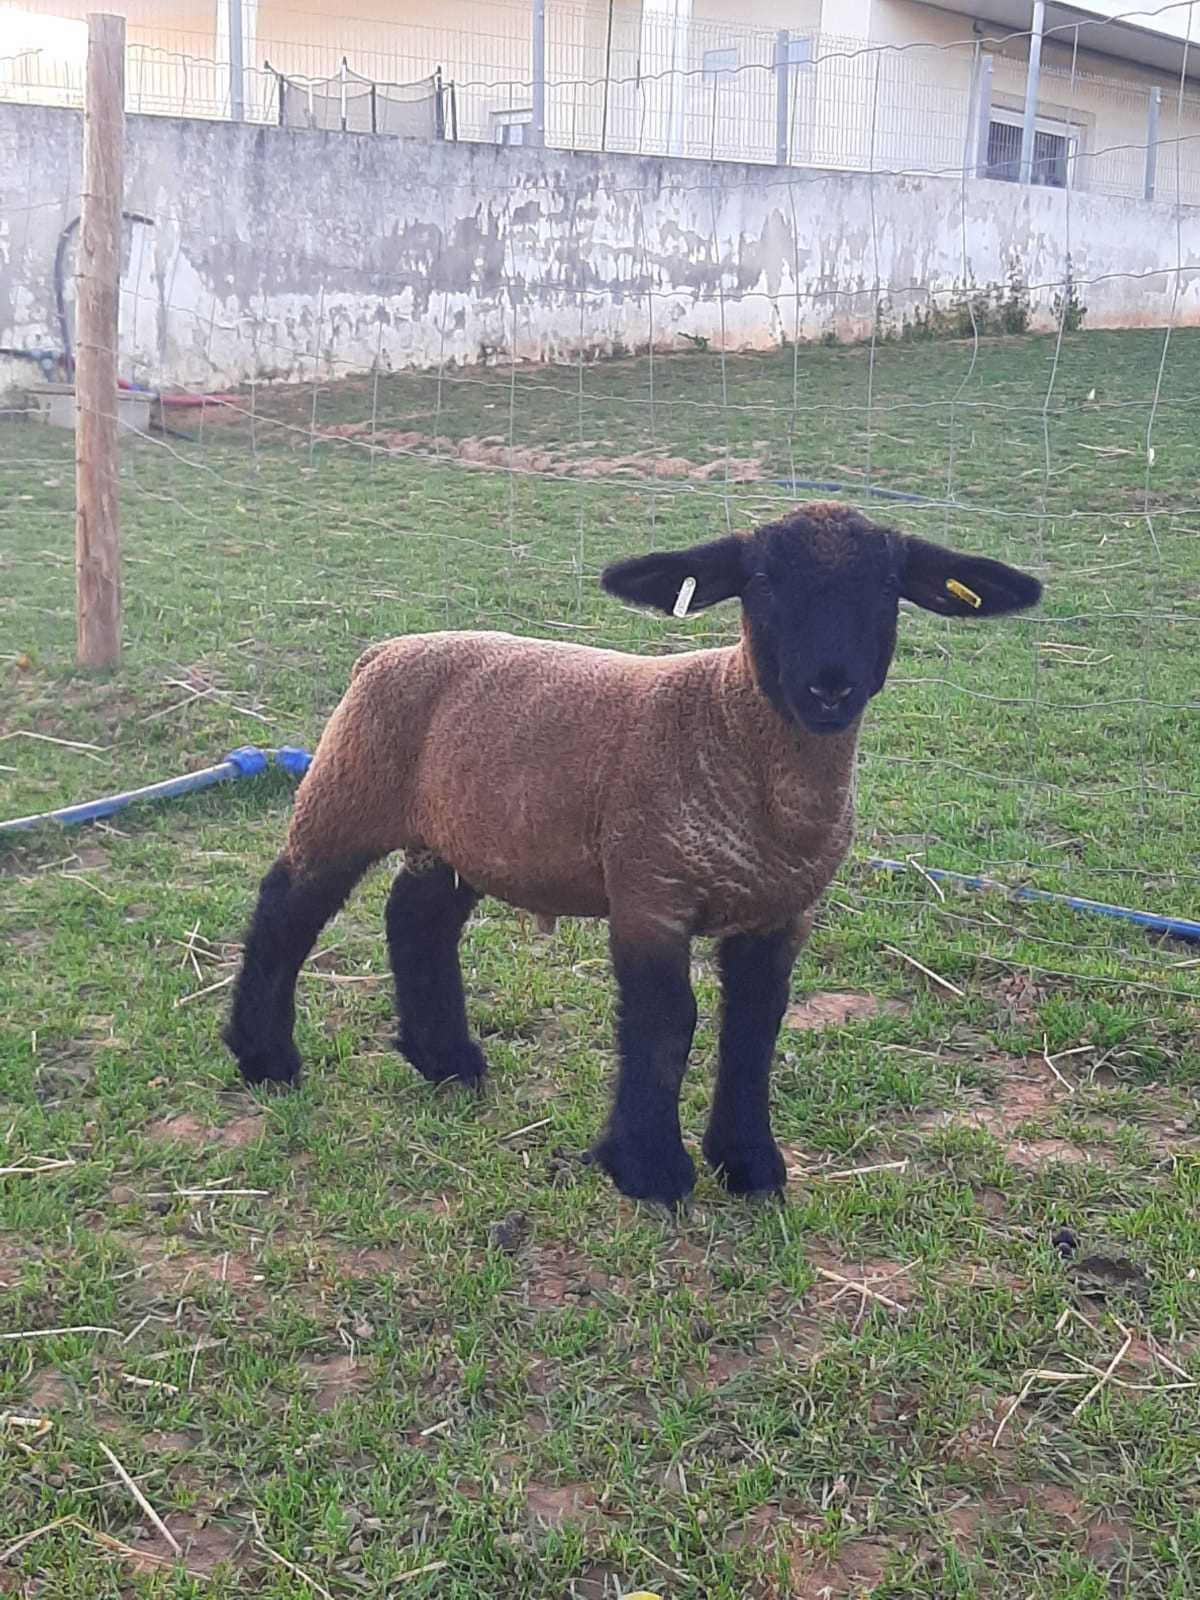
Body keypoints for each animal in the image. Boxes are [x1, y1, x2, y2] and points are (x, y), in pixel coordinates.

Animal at [225, 499, 1043, 1203]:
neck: (733, 729)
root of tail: (386, 649)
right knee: (288, 906)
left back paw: (448, 1062)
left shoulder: (782, 914)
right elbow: (666, 1022)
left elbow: (755, 1027)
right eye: (761, 583)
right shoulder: (651, 891)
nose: (829, 688)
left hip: (463, 833)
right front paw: (649, 1169)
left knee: (417, 919)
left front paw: (749, 1163)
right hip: (348, 790)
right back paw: (264, 1057)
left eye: (888, 589)